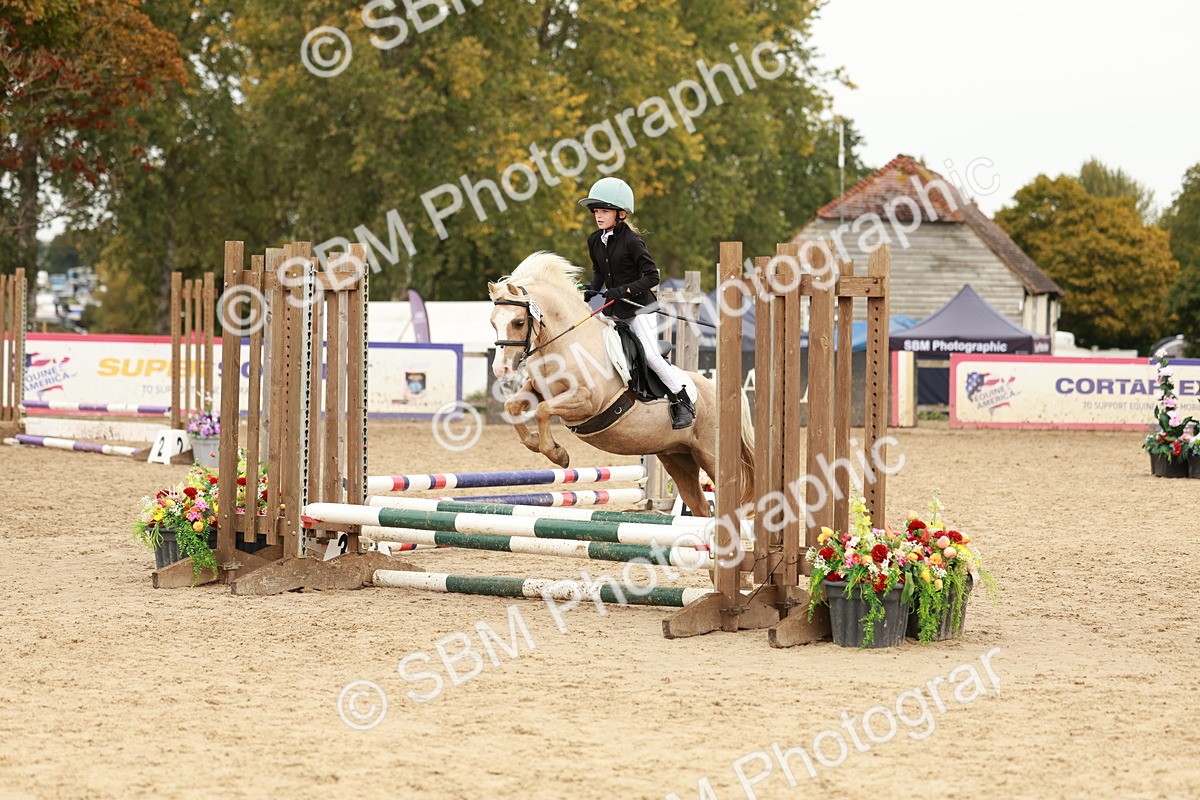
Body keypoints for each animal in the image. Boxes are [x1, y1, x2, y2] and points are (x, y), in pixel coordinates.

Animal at [488, 251, 754, 517]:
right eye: (492, 322)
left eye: (518, 322)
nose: (501, 369)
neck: (566, 342)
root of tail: (730, 393)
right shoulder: (538, 390)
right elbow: (513, 406)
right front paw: (535, 443)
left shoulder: (587, 402)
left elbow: (543, 411)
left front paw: (558, 454)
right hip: (678, 458)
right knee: (700, 506)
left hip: (710, 455)